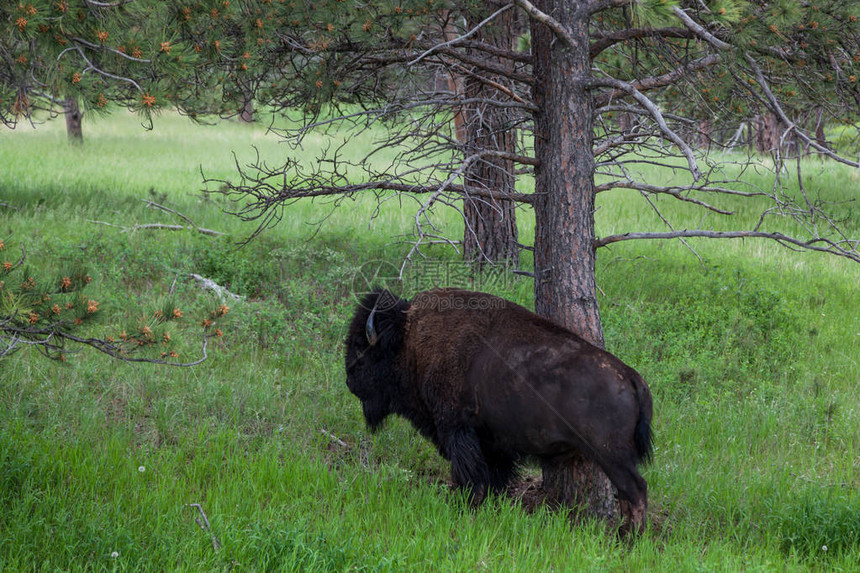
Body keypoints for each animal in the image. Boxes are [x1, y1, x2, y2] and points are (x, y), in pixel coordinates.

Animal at [342, 288, 652, 536]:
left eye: (360, 347)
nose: (349, 380)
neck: (410, 342)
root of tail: (631, 377)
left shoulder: (456, 430)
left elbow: (469, 474)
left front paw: (464, 506)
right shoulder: (494, 444)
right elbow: (494, 477)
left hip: (611, 455)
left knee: (636, 491)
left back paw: (627, 538)